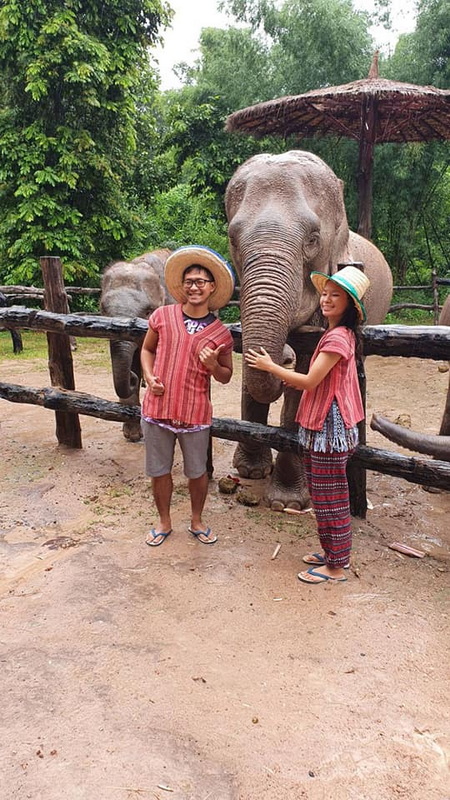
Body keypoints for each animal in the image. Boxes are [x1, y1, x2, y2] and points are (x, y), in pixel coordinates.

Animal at [227, 150, 392, 510]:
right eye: (232, 239)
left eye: (313, 240)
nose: (283, 357)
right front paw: (250, 472)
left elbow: (304, 383)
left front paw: (286, 503)